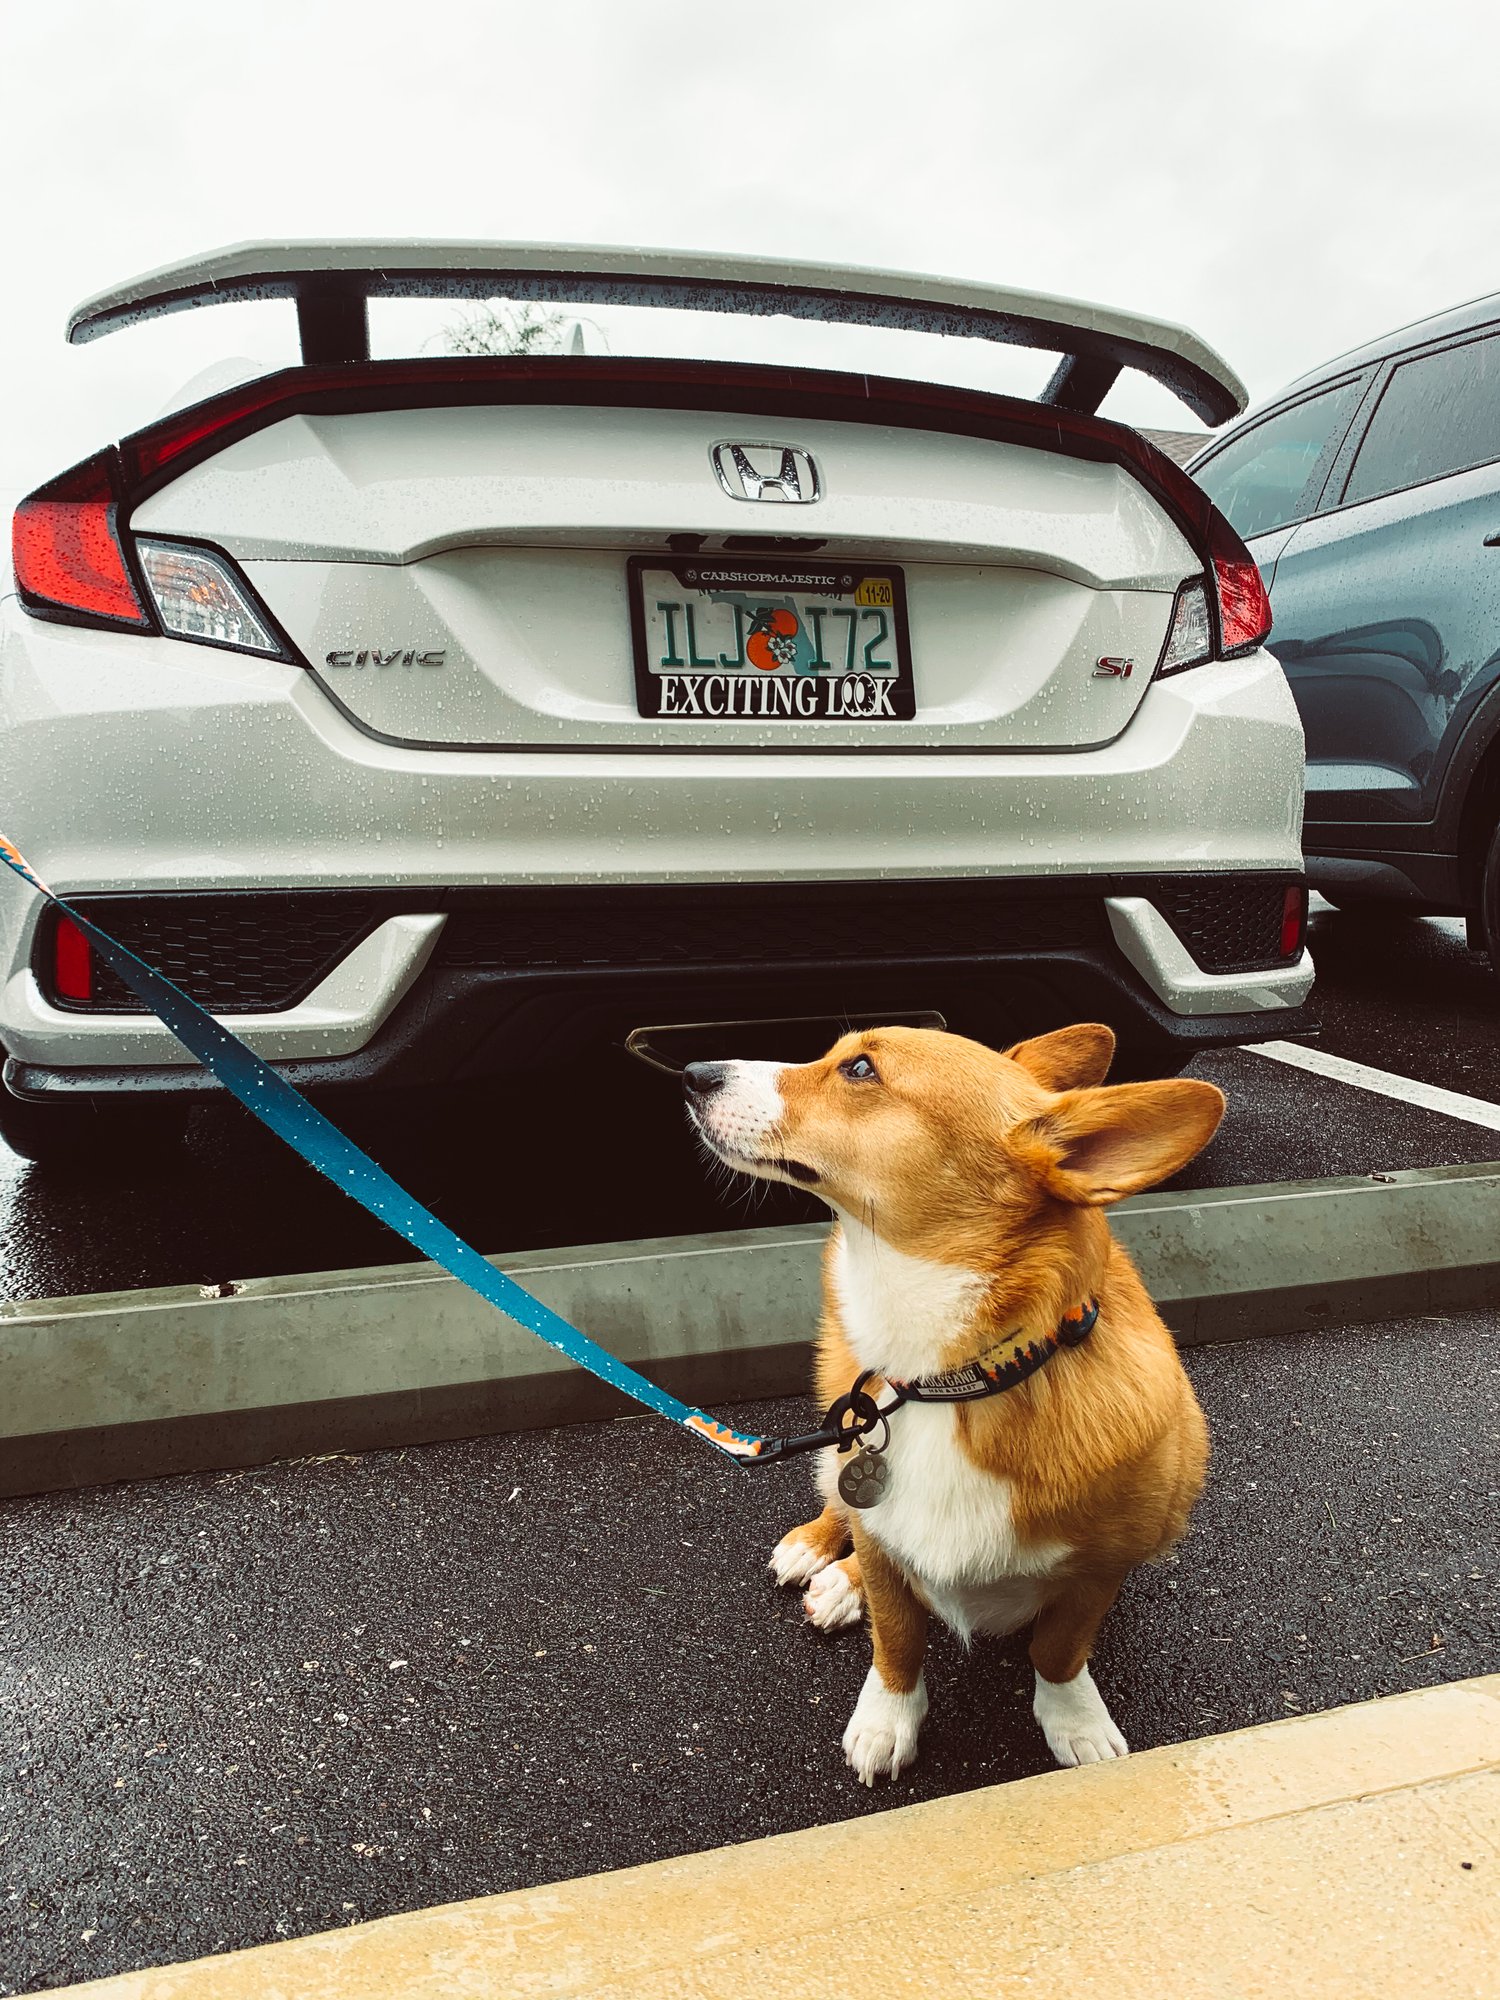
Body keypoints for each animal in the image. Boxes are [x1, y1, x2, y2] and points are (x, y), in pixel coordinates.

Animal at [684, 1021, 1223, 1784]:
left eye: (859, 1069)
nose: (692, 1072)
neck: (950, 1381)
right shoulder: (883, 1541)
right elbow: (897, 1638)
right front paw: (887, 1720)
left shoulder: (1099, 1571)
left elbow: (1059, 1650)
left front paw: (1076, 1722)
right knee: (841, 1509)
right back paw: (824, 1561)